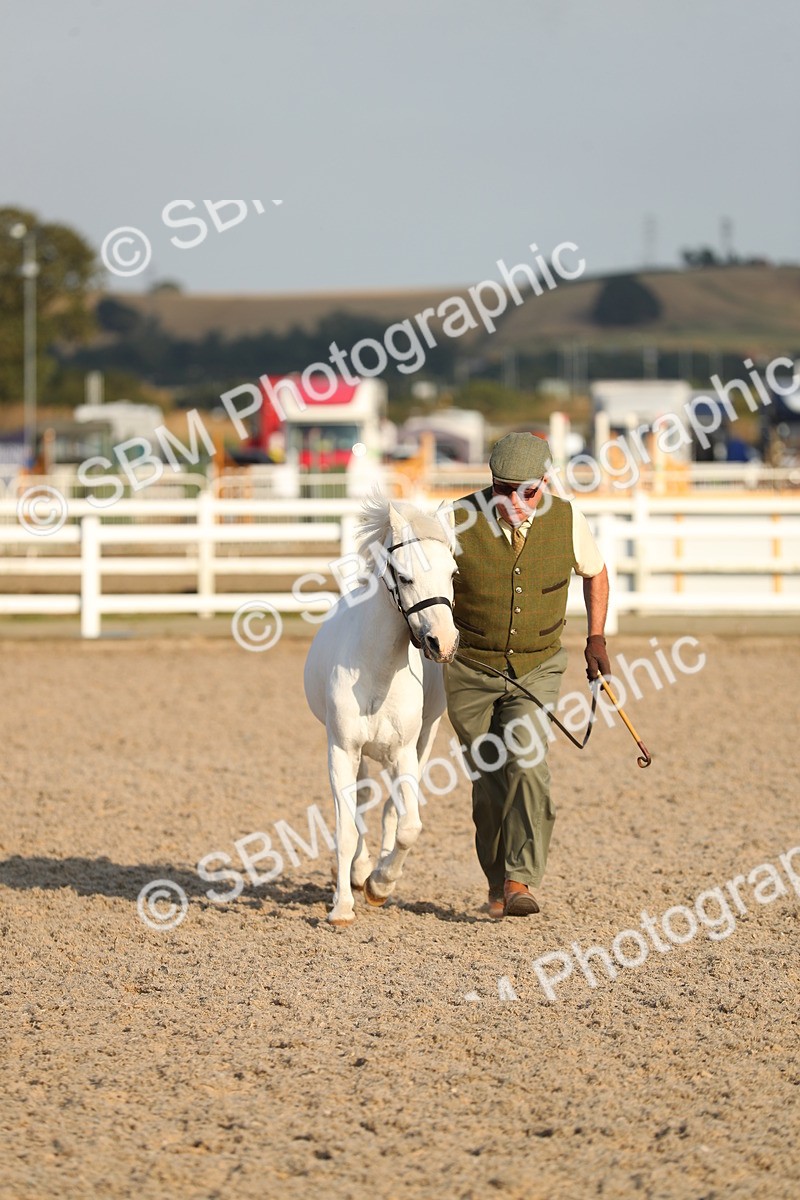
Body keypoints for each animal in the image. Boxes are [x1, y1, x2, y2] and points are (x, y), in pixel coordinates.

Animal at [303, 493, 460, 925]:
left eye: (453, 573)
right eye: (404, 577)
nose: (444, 643)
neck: (374, 671)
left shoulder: (404, 752)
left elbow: (409, 825)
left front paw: (381, 885)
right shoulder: (341, 750)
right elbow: (345, 829)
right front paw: (342, 906)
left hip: (421, 742)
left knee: (392, 807)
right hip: (356, 755)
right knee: (360, 803)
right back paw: (359, 871)